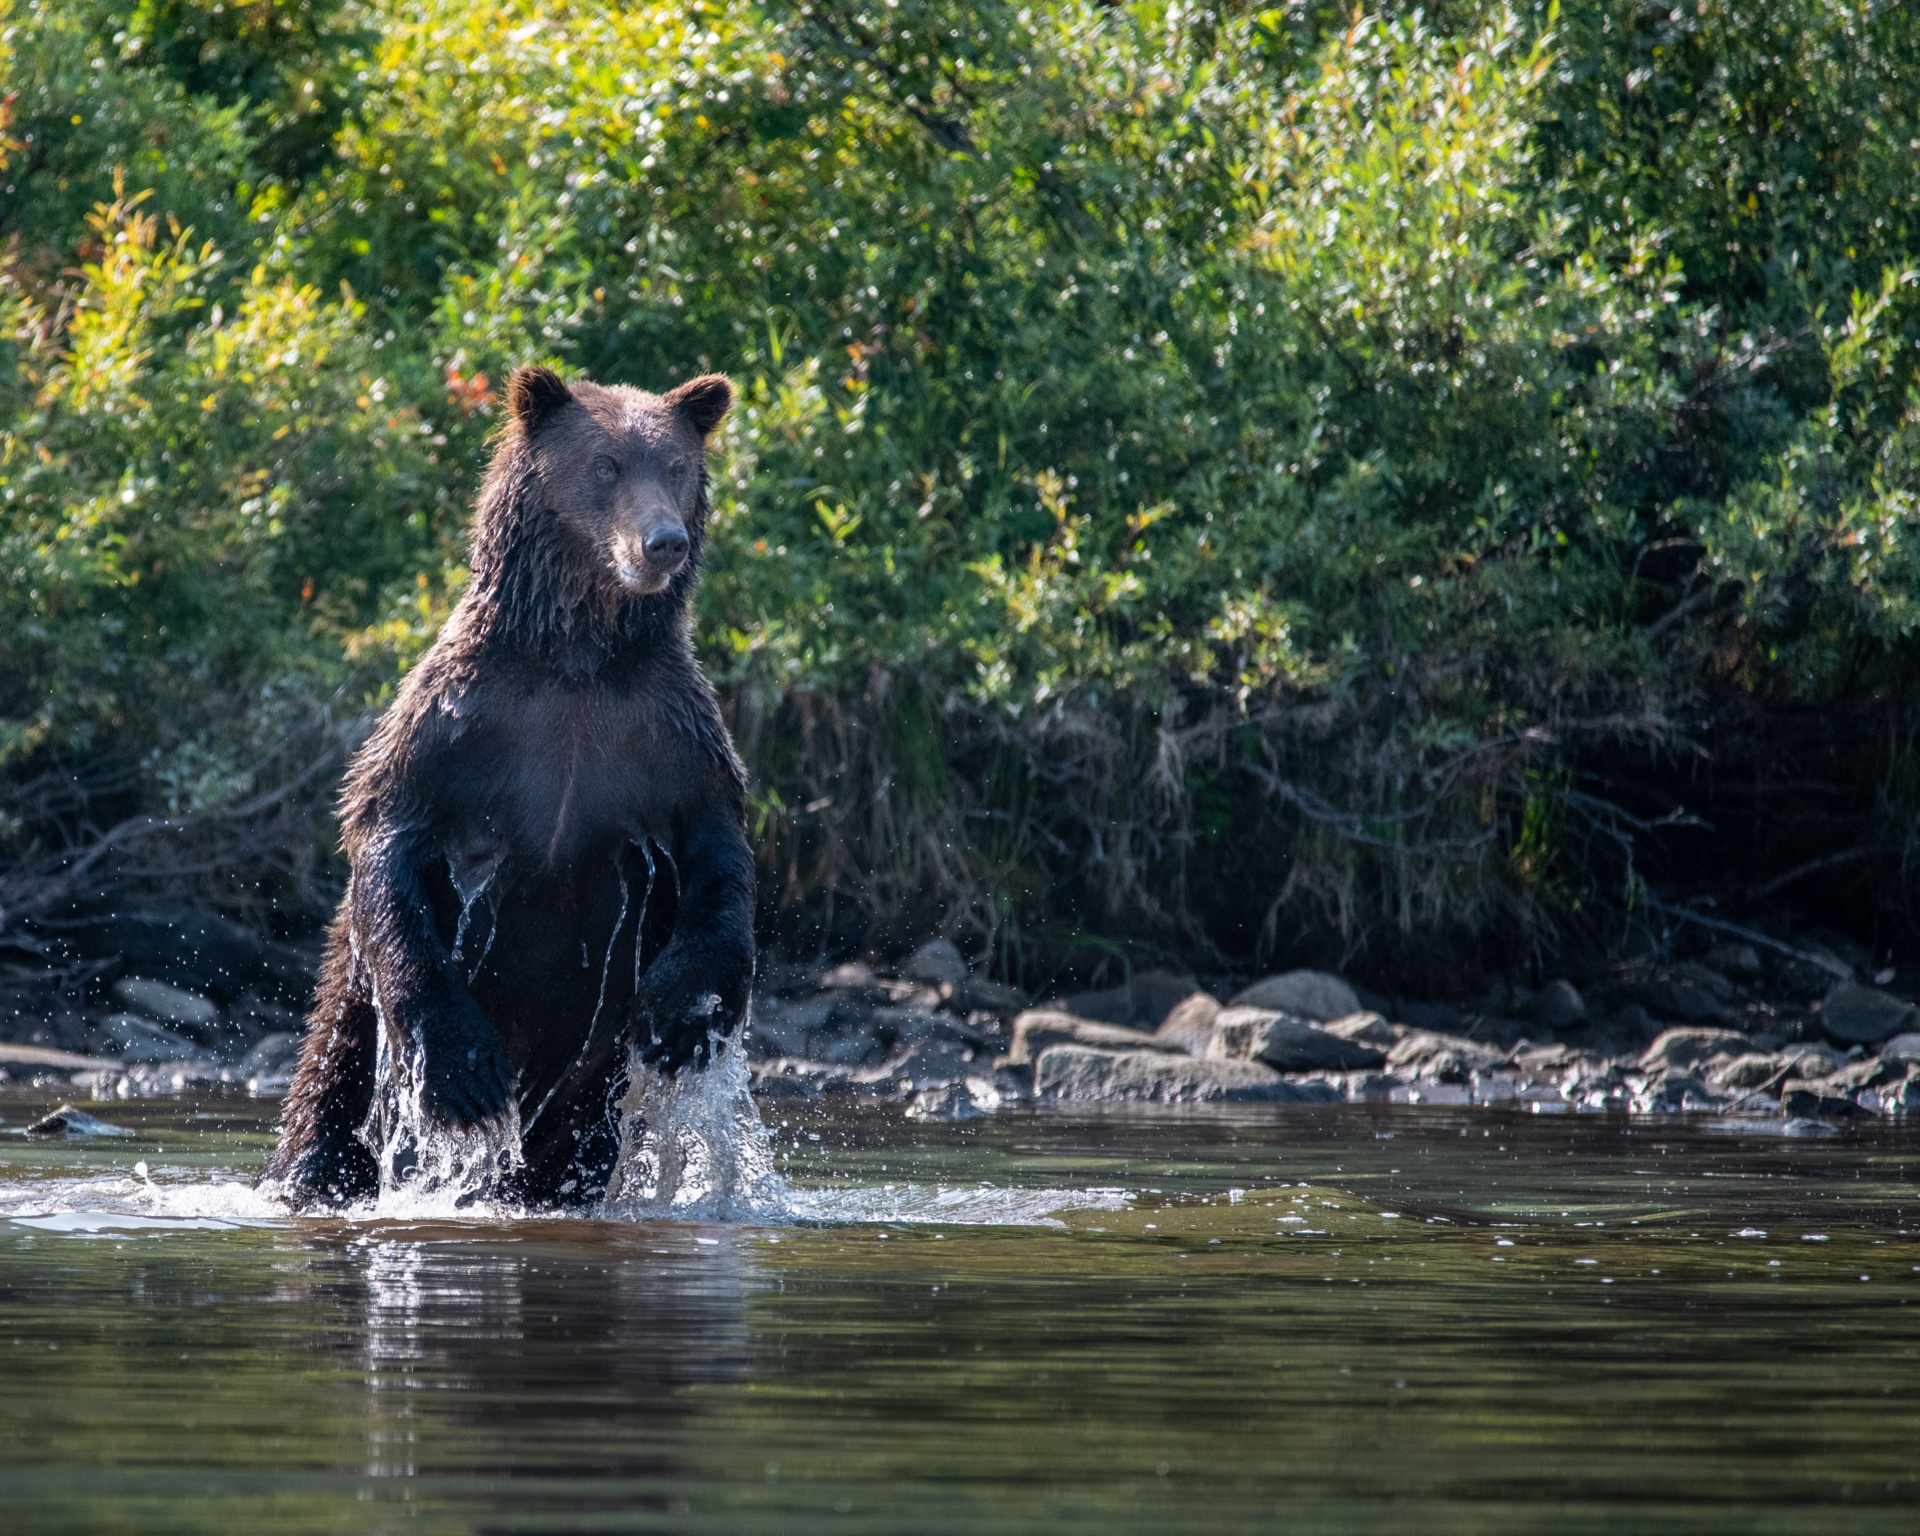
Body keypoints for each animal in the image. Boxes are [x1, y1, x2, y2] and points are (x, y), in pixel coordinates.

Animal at [261, 365, 755, 1210]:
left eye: (676, 467)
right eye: (606, 466)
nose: (664, 542)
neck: (577, 658)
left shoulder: (667, 734)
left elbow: (719, 856)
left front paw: (682, 1014)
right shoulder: (458, 724)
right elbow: (389, 842)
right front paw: (466, 1072)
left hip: (587, 1100)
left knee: (579, 1146)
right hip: (348, 1023)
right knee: (328, 1100)